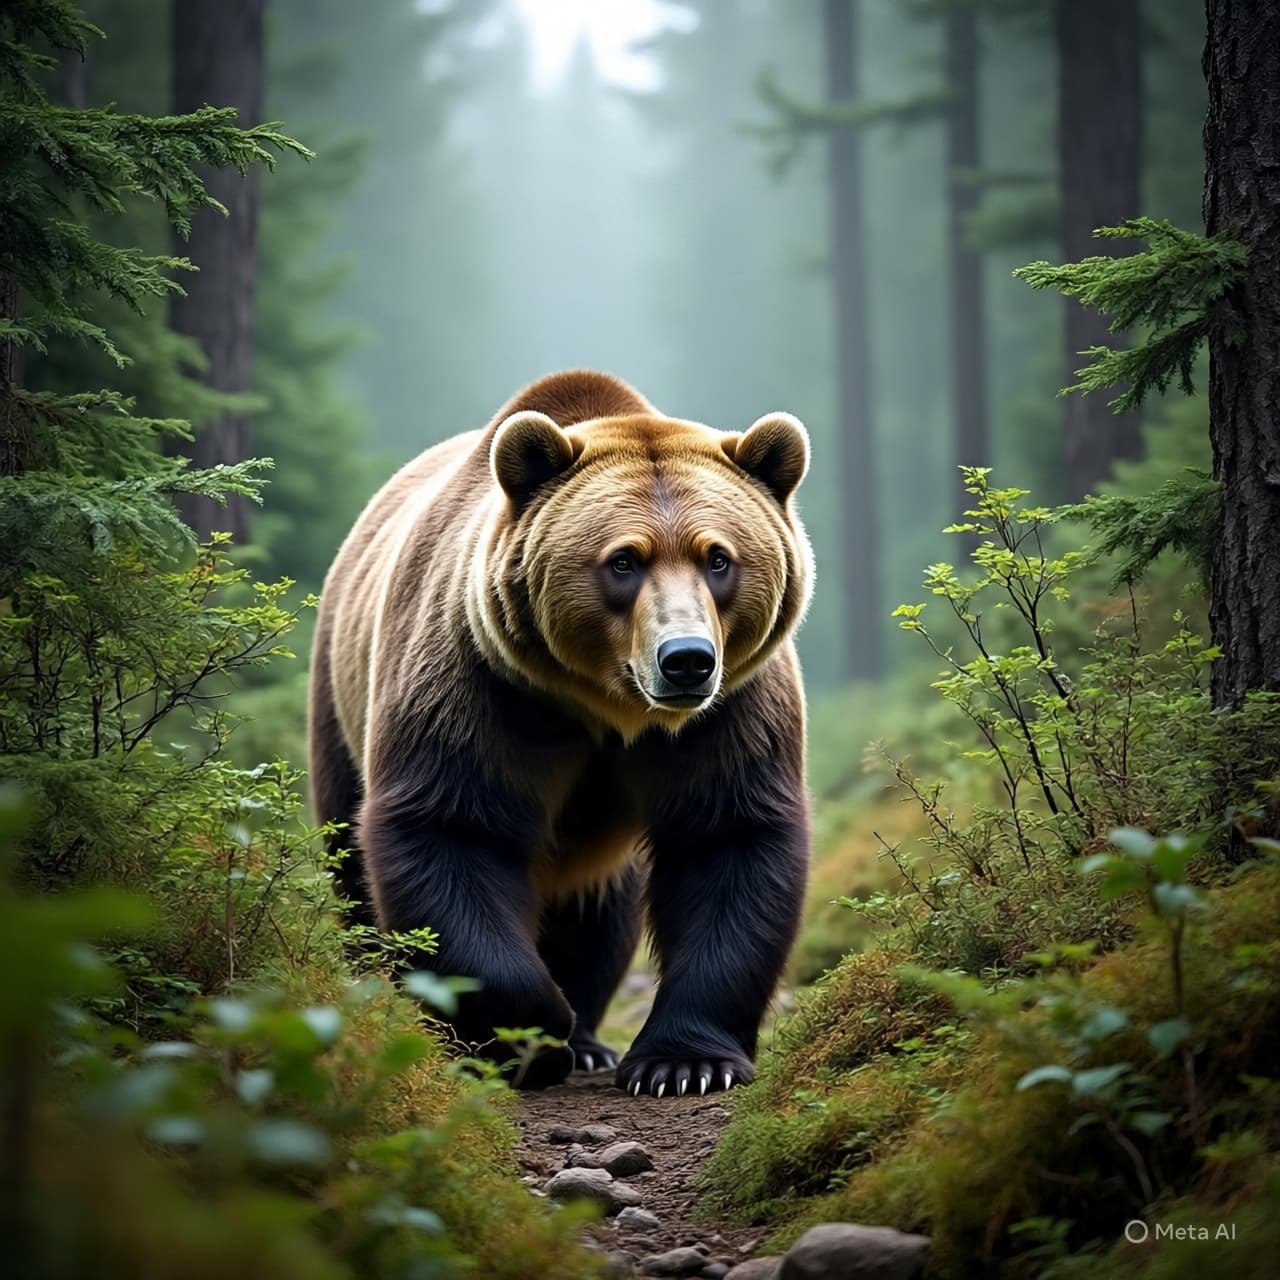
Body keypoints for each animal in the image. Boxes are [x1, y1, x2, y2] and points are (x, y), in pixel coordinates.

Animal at [308, 370, 813, 1096]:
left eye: (718, 558)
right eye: (624, 560)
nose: (687, 659)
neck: (605, 708)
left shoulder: (730, 710)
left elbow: (729, 839)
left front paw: (683, 1063)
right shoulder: (481, 683)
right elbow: (452, 829)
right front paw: (529, 1034)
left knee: (597, 912)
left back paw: (591, 1040)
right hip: (337, 694)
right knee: (350, 863)